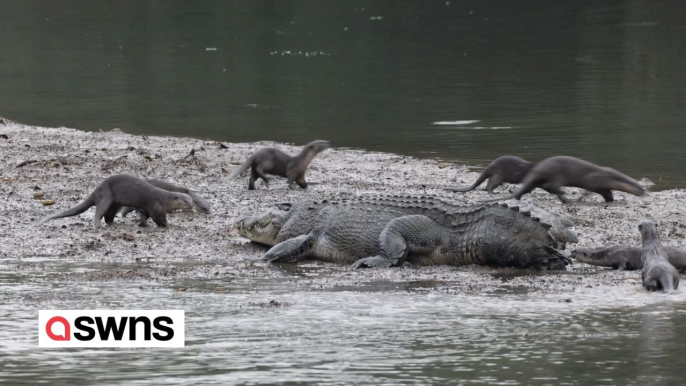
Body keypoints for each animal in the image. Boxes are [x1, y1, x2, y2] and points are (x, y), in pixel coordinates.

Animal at [37, 174, 194, 228]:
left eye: (191, 200)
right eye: (185, 201)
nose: (192, 204)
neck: (164, 199)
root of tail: (96, 190)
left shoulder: (146, 208)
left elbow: (144, 215)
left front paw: (142, 224)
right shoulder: (156, 206)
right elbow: (158, 218)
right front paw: (167, 225)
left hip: (114, 204)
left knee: (108, 215)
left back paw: (111, 223)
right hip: (106, 197)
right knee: (98, 212)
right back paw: (98, 225)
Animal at [484, 156, 644, 204]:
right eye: (640, 188)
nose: (644, 192)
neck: (609, 177)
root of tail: (537, 169)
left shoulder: (604, 187)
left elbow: (608, 194)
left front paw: (611, 201)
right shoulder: (594, 180)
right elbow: (588, 189)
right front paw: (581, 197)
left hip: (536, 182)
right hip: (557, 176)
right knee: (553, 187)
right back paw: (566, 198)